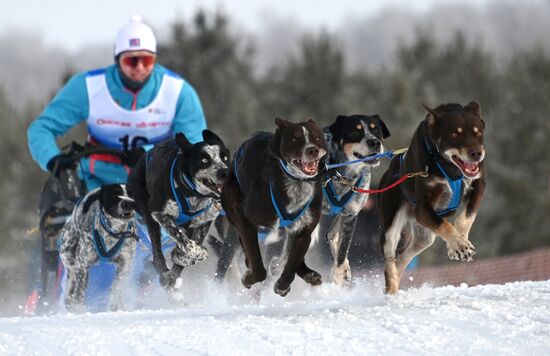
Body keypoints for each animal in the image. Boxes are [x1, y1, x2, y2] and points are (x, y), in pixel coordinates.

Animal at [59, 184, 138, 312]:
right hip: (70, 258)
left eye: (132, 194)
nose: (128, 203)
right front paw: (79, 308)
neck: (113, 233)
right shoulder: (82, 265)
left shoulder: (125, 265)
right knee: (71, 286)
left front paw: (114, 307)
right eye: (114, 194)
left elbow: (116, 288)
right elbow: (79, 292)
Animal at [129, 132, 231, 290]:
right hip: (149, 215)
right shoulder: (159, 213)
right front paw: (197, 253)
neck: (194, 195)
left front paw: (180, 258)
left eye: (225, 157)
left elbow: (186, 249)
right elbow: (184, 241)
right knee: (157, 254)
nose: (225, 172)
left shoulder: (202, 224)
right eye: (204, 160)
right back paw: (165, 273)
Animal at [320, 115, 392, 286]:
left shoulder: (350, 214)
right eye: (355, 131)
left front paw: (338, 277)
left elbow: (342, 252)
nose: (375, 142)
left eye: (376, 130)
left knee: (331, 235)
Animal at [380, 101, 488, 294]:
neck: (446, 164)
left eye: (477, 132)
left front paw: (459, 243)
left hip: (424, 238)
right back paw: (391, 290)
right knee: (390, 259)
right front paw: (459, 245)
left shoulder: (479, 185)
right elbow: (445, 225)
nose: (476, 153)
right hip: (391, 226)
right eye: (455, 133)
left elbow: (467, 217)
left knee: (402, 258)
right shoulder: (422, 209)